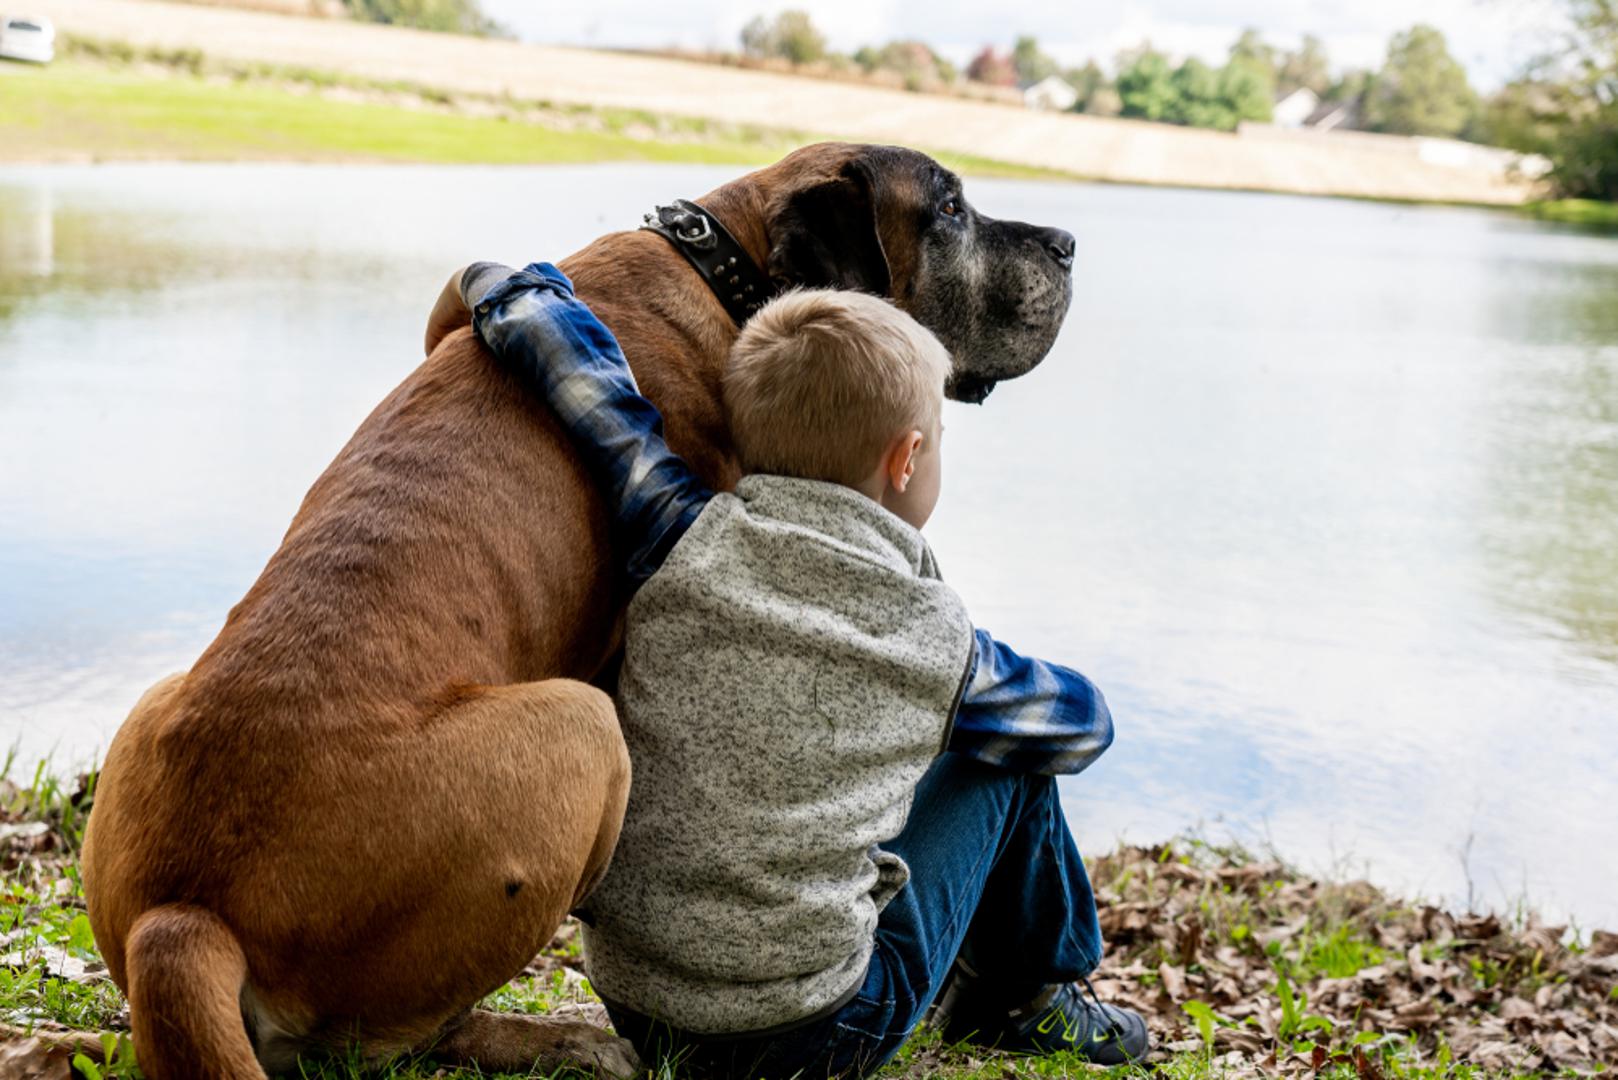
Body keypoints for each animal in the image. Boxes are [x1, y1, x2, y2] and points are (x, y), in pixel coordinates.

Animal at [82, 143, 1080, 1080]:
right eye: (948, 209)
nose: (1068, 243)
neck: (727, 264)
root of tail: (184, 918)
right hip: (582, 727)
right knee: (398, 1038)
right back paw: (560, 1039)